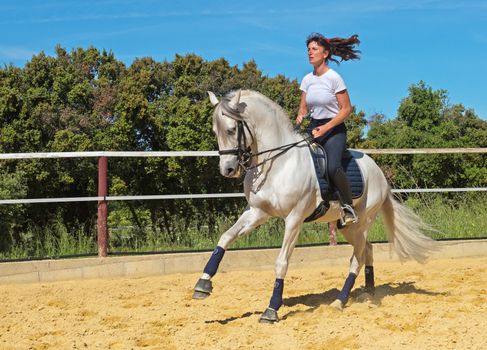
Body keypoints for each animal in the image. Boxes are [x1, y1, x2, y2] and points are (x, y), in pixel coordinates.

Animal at [192, 89, 438, 322]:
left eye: (232, 129)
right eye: (215, 131)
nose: (227, 169)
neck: (277, 163)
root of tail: (379, 173)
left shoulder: (294, 219)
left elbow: (282, 262)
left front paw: (271, 310)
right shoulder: (257, 213)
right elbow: (225, 238)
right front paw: (202, 285)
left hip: (363, 222)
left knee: (357, 259)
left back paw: (340, 301)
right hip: (348, 227)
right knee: (367, 250)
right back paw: (368, 292)